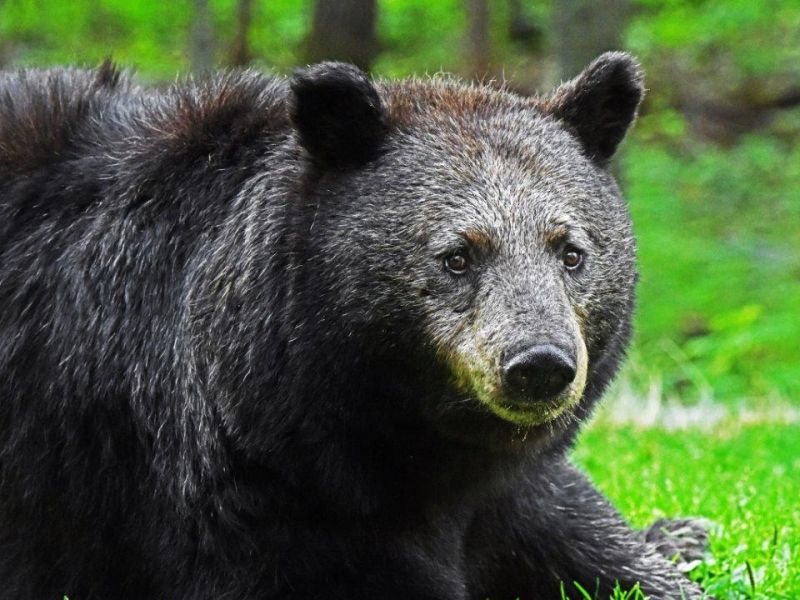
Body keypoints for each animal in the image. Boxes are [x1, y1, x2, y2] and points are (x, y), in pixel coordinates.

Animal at [0, 54, 705, 599]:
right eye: (457, 255)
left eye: (571, 251)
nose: (539, 364)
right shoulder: (241, 494)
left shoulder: (511, 491)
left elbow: (586, 541)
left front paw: (675, 540)